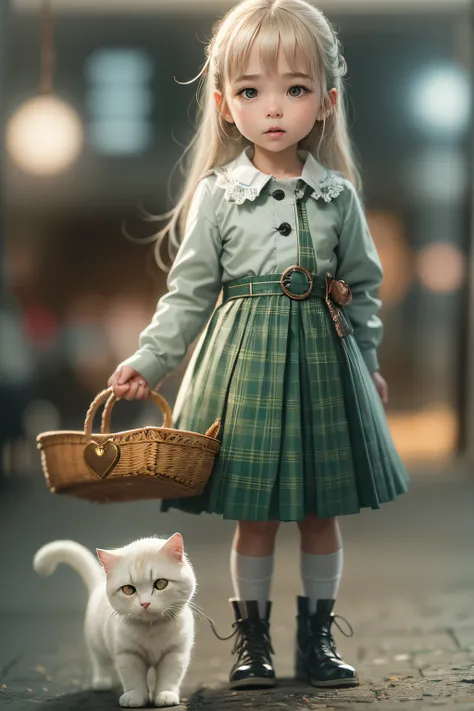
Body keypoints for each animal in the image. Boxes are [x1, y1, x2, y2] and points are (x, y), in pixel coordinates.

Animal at [33, 536, 195, 708]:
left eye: (161, 583)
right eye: (128, 589)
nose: (145, 603)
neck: (151, 630)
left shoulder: (175, 653)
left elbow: (170, 677)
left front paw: (166, 695)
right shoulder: (127, 654)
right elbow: (133, 679)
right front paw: (134, 697)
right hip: (96, 644)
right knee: (100, 662)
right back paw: (102, 682)